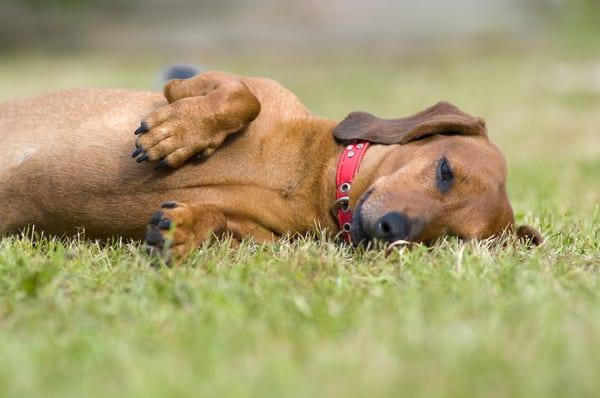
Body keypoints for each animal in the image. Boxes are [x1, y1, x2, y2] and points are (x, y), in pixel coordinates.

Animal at [0, 70, 544, 262]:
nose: (392, 230)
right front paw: (176, 134)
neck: (310, 179)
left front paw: (184, 227)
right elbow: (243, 98)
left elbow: (218, 220)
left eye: (448, 240)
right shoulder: (199, 83)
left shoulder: (258, 237)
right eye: (445, 170)